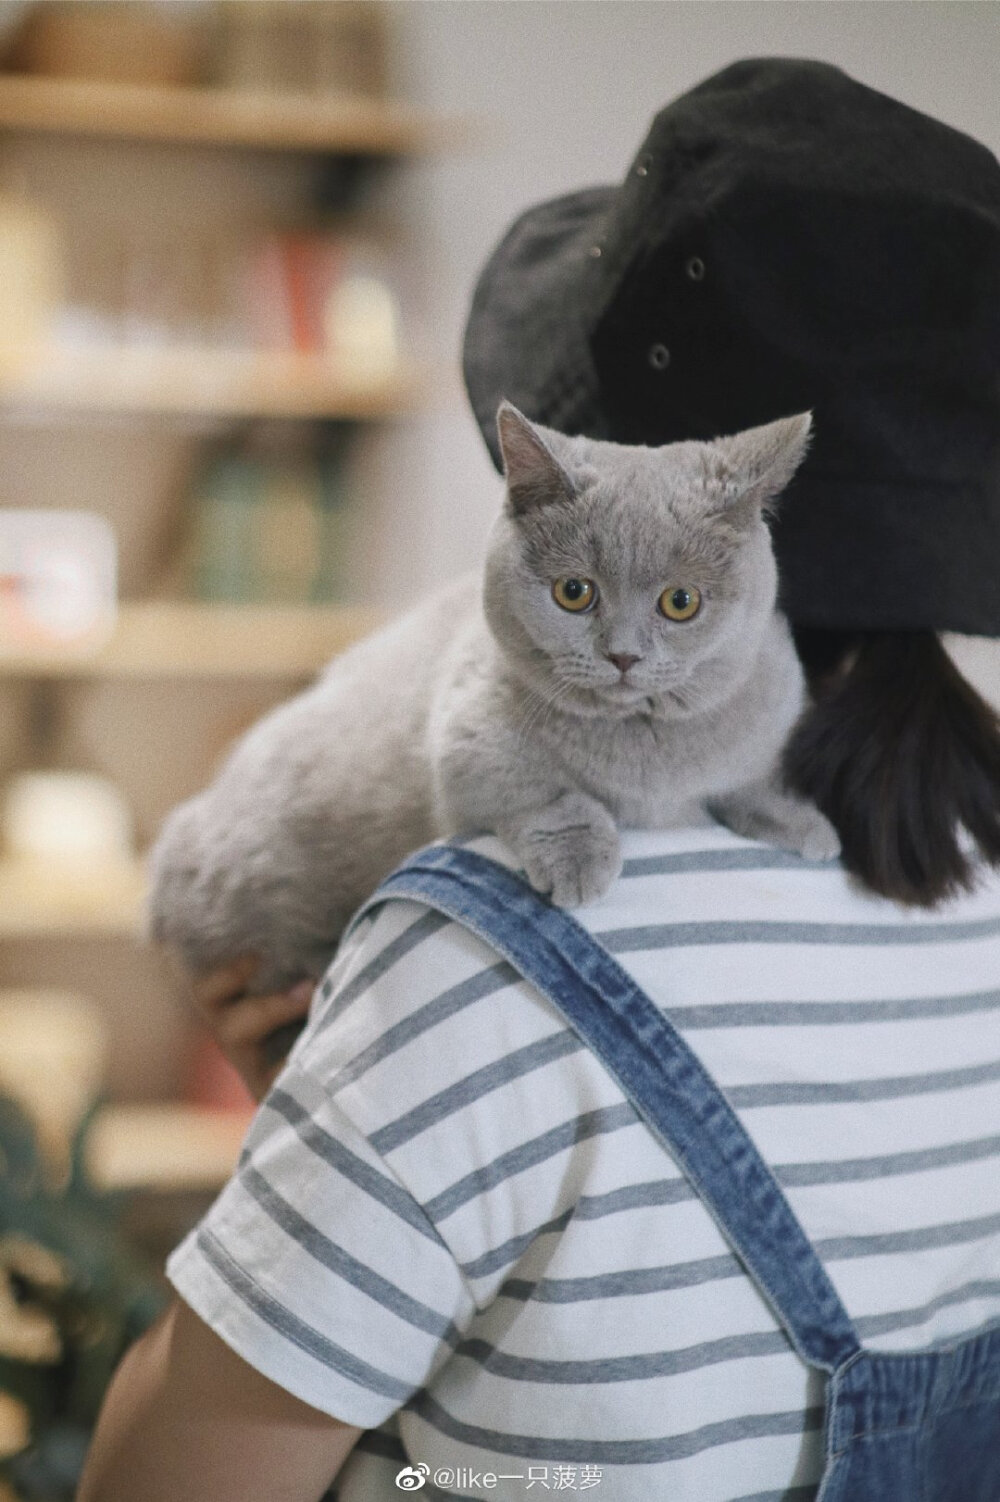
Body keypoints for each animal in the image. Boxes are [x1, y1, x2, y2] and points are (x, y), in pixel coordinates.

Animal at [147, 405, 834, 991]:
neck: (647, 754)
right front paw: (579, 860)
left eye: (681, 602)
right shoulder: (467, 737)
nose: (623, 656)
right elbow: (545, 792)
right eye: (574, 592)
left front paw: (807, 826)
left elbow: (752, 775)